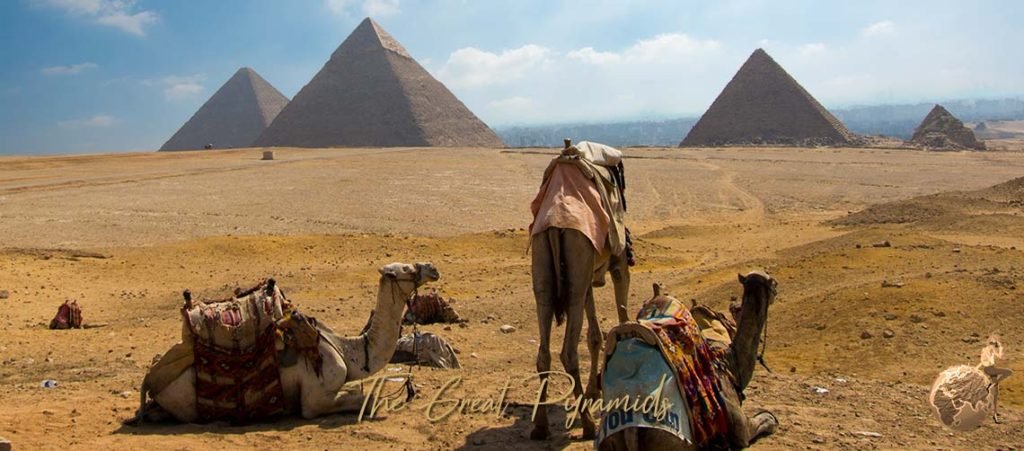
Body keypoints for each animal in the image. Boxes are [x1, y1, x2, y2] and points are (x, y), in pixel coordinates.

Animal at [130, 260, 438, 422]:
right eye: (406, 269)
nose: (432, 268)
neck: (348, 351)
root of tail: (150, 378)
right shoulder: (314, 399)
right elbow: (368, 399)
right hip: (186, 401)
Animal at [532, 139, 626, 438]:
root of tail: (554, 224)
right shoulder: (619, 263)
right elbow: (622, 318)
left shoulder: (588, 276)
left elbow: (595, 335)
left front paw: (596, 389)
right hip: (575, 268)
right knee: (568, 352)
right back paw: (587, 424)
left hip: (544, 271)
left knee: (544, 353)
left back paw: (540, 426)